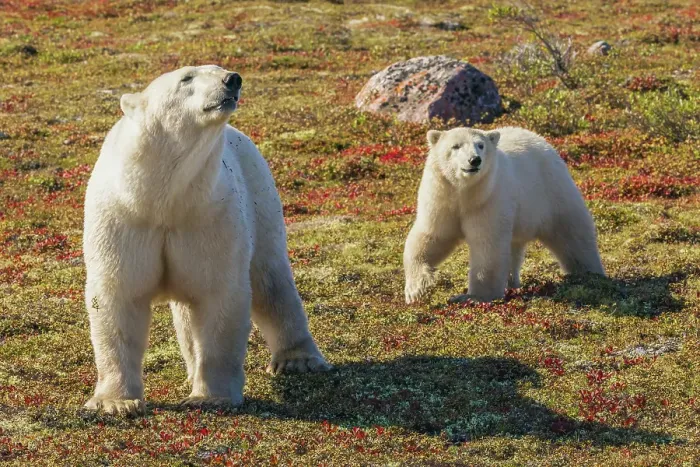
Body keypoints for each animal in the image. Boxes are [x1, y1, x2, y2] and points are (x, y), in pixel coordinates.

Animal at [83, 65, 330, 416]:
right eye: (186, 78)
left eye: (220, 68)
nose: (232, 80)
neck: (161, 198)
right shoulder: (124, 220)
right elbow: (118, 296)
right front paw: (115, 403)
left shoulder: (209, 216)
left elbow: (218, 295)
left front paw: (211, 397)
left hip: (261, 199)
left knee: (271, 282)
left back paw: (299, 360)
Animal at [404, 126, 605, 304]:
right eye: (456, 146)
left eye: (480, 145)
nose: (474, 160)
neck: (465, 193)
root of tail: (541, 139)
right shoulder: (442, 198)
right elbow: (432, 236)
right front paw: (415, 290)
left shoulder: (489, 198)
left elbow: (487, 246)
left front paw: (473, 297)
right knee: (515, 246)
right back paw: (512, 282)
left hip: (551, 192)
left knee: (572, 234)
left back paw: (589, 273)